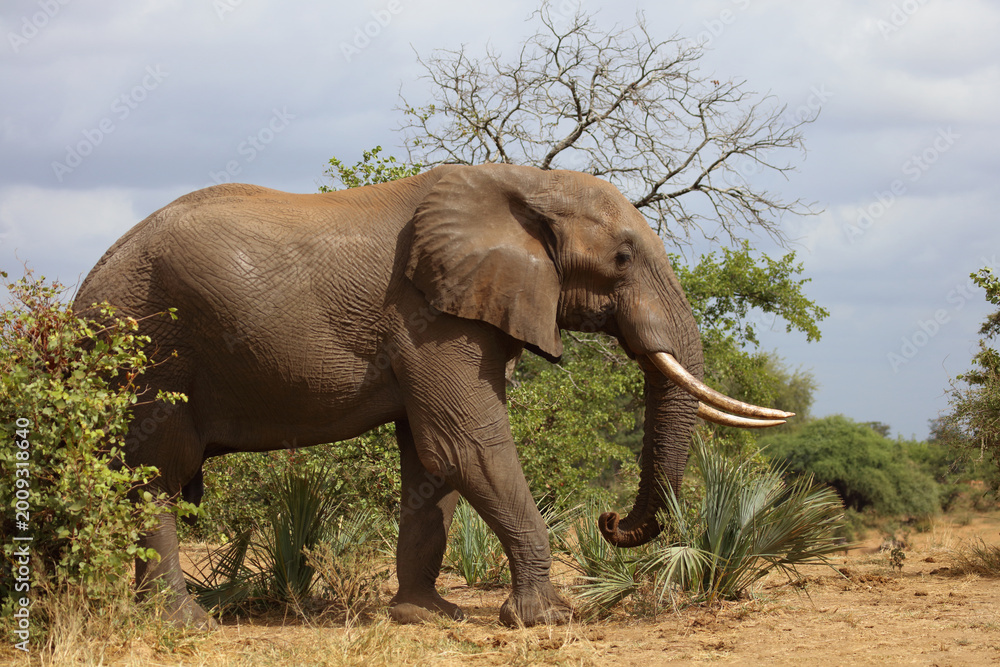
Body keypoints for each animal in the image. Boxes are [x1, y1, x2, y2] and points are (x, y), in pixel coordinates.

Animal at [73, 163, 791, 628]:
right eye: (621, 257)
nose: (610, 520)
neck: (524, 182)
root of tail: (83, 289)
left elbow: (430, 462)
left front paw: (428, 617)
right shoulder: (430, 317)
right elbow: (468, 446)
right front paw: (549, 619)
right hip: (149, 352)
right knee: (155, 479)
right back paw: (184, 624)